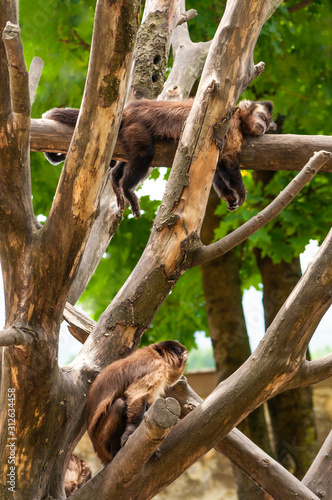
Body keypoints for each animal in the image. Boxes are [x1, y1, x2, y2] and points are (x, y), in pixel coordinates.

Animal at [44, 99, 278, 217]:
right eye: (262, 117)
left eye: (267, 123)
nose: (263, 127)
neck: (238, 116)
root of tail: (127, 109)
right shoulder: (231, 125)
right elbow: (228, 159)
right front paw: (240, 192)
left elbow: (218, 166)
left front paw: (229, 197)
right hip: (136, 126)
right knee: (144, 154)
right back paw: (126, 187)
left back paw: (115, 178)